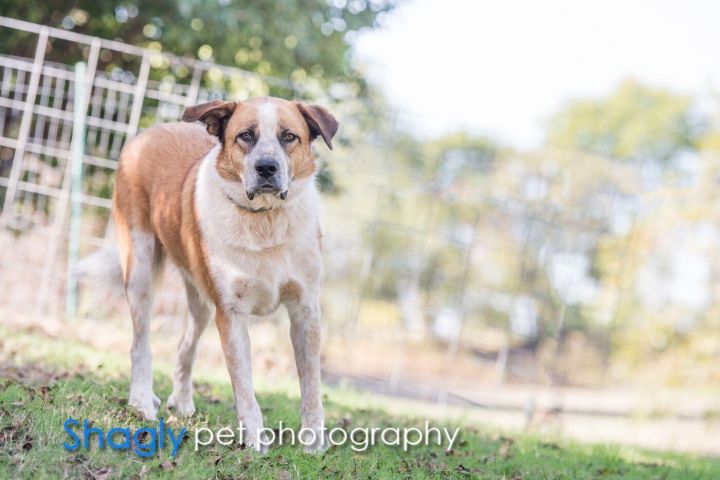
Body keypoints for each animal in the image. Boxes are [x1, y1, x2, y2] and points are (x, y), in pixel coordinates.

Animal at [88, 95, 340, 452]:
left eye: (289, 136)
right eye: (245, 136)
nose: (267, 168)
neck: (264, 221)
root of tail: (149, 132)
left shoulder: (305, 310)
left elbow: (312, 386)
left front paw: (314, 443)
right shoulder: (231, 313)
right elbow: (244, 388)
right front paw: (255, 443)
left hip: (202, 302)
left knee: (186, 345)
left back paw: (182, 403)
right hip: (140, 270)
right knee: (140, 343)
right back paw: (141, 400)